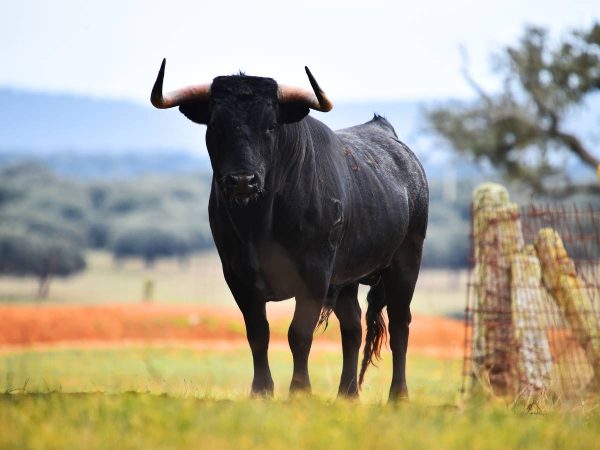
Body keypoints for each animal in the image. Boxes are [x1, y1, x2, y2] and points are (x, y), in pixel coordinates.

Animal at [152, 62, 428, 400]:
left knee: (400, 325)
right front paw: (261, 391)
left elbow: (299, 333)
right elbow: (258, 333)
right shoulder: (238, 275)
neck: (259, 224)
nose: (242, 180)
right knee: (352, 327)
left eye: (270, 126)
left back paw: (398, 396)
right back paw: (347, 394)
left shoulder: (314, 274)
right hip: (346, 278)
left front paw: (299, 391)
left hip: (406, 261)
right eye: (215, 126)